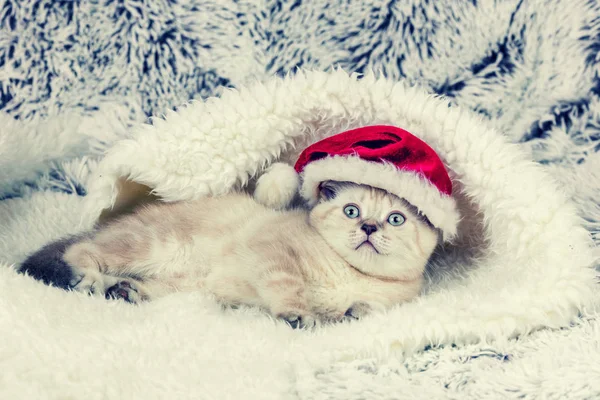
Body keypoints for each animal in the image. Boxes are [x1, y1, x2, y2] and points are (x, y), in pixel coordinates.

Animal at [19, 183, 440, 326]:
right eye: (352, 211)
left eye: (396, 219)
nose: (369, 227)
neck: (351, 275)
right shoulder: (273, 251)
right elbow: (288, 286)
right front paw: (297, 314)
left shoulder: (395, 298)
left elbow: (369, 310)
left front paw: (352, 312)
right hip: (152, 244)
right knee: (81, 249)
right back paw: (89, 279)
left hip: (185, 288)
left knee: (150, 288)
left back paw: (124, 291)